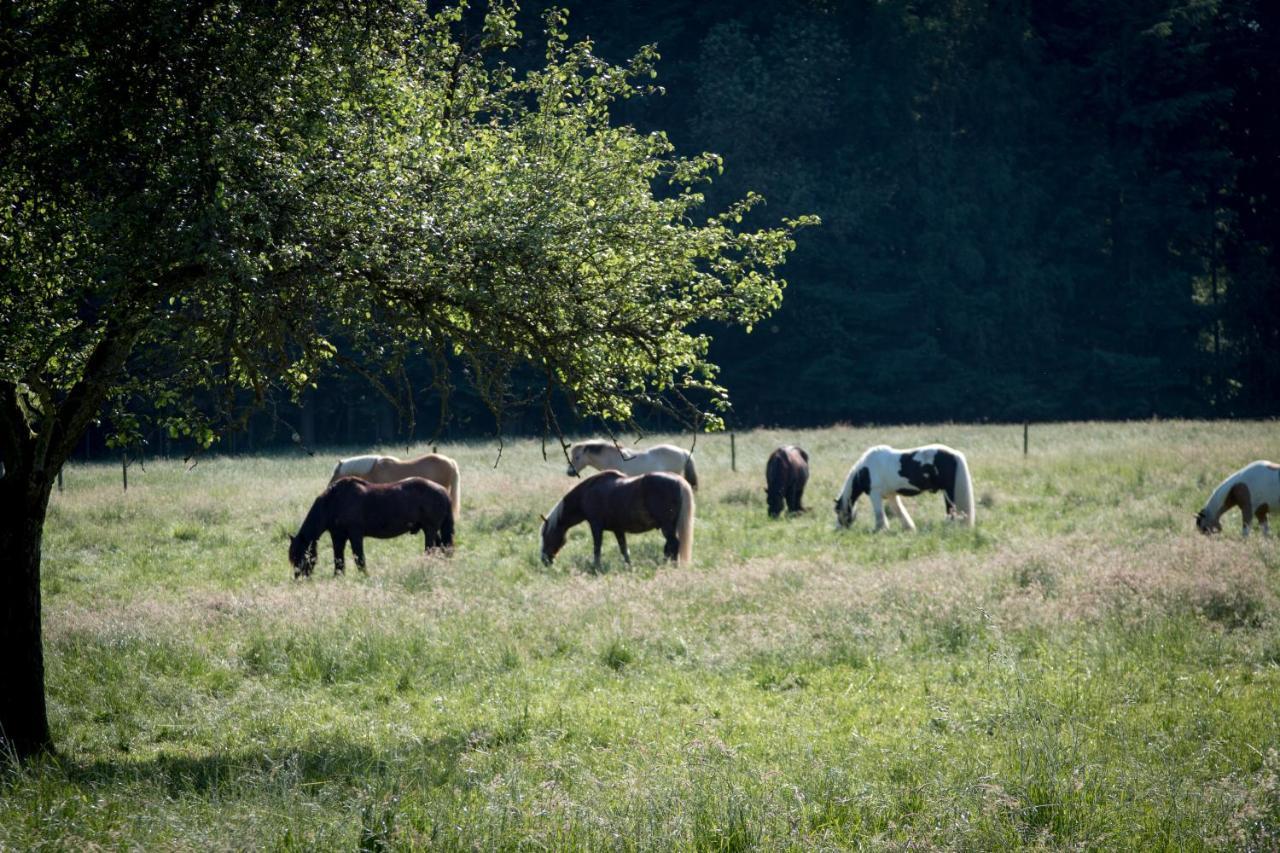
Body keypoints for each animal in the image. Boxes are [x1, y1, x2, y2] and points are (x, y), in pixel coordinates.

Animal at [290, 473, 455, 573]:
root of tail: (443, 491)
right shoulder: (337, 537)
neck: (333, 502)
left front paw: (364, 576)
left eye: (299, 556)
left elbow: (359, 558)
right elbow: (338, 560)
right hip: (432, 530)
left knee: (431, 550)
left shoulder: (355, 535)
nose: (299, 579)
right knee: (442, 549)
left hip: (430, 530)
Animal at [542, 468, 701, 568]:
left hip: (667, 526)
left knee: (673, 544)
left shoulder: (596, 526)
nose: (544, 560)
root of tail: (678, 480)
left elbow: (597, 548)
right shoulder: (618, 530)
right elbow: (624, 549)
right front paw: (629, 566)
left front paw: (596, 567)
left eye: (545, 535)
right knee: (670, 546)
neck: (586, 493)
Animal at [834, 440, 972, 527]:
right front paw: (909, 528)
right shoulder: (891, 495)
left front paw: (880, 530)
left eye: (837, 511)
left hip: (948, 492)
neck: (865, 471)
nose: (838, 530)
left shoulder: (875, 494)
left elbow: (880, 516)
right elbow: (900, 511)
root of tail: (955, 455)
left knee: (952, 510)